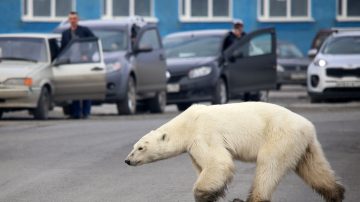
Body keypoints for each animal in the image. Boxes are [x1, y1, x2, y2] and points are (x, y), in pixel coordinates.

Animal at [125, 102, 344, 202]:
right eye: (133, 146)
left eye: (140, 147)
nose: (127, 160)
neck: (186, 124)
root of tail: (308, 126)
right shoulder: (193, 147)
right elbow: (203, 166)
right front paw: (213, 192)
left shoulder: (203, 134)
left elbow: (218, 162)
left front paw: (204, 194)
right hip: (303, 144)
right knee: (314, 168)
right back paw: (336, 193)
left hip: (280, 136)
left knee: (268, 165)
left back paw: (250, 198)